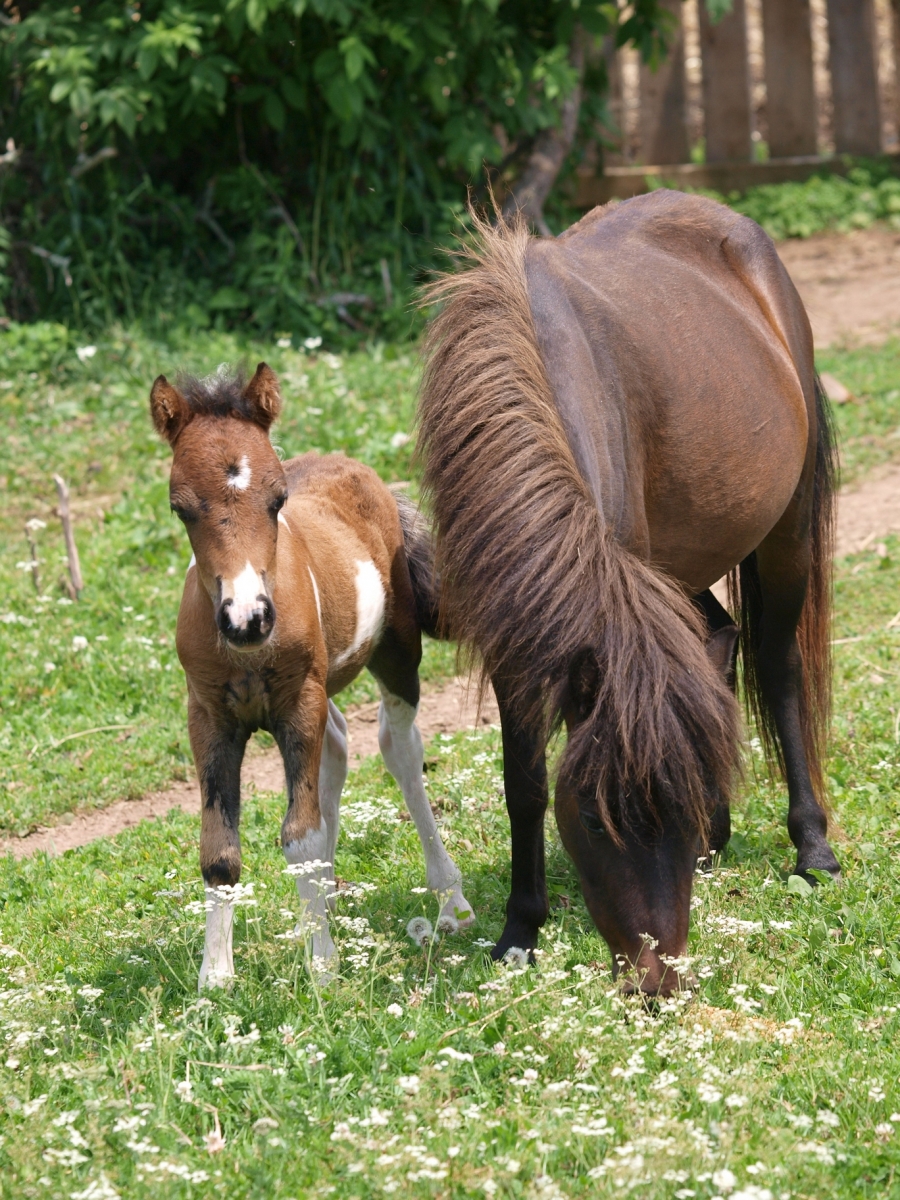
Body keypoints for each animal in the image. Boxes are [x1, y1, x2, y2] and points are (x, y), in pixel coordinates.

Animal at [149, 363, 473, 989]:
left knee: (399, 751)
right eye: (181, 508)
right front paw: (214, 978)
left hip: (396, 654)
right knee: (340, 746)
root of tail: (360, 470)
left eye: (277, 500)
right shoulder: (210, 716)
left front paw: (322, 967)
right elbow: (218, 850)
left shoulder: (300, 702)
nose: (247, 618)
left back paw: (450, 899)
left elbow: (301, 837)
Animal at [417, 189, 839, 996]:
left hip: (788, 527)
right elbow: (524, 779)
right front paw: (520, 931)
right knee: (718, 643)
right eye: (592, 816)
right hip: (680, 570)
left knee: (777, 665)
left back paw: (813, 850)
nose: (657, 981)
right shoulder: (519, 630)